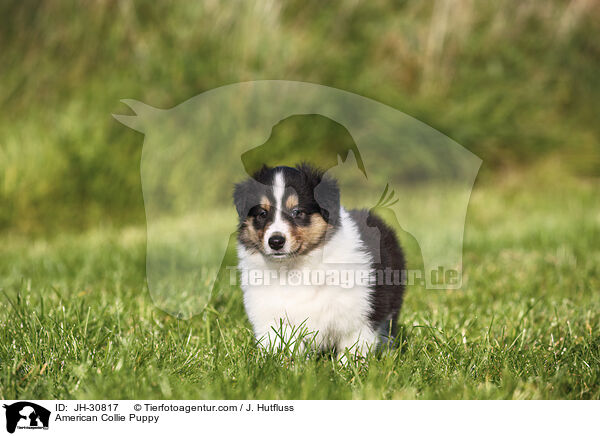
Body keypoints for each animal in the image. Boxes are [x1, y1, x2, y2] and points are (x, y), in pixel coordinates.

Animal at [232, 162, 406, 360]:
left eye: (297, 212)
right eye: (262, 213)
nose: (275, 242)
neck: (295, 267)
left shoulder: (360, 312)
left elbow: (353, 346)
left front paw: (347, 367)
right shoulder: (271, 315)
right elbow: (284, 345)